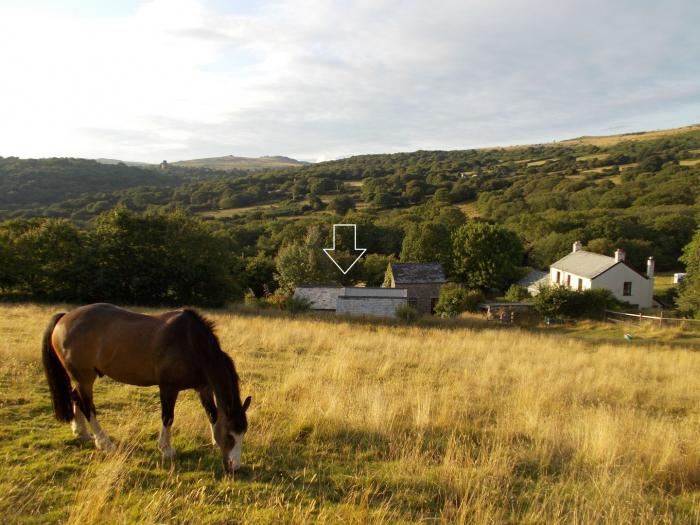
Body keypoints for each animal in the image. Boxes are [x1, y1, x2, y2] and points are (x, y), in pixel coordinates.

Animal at [39, 300, 250, 476]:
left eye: (243, 434)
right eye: (230, 435)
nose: (234, 468)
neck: (190, 343)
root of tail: (65, 317)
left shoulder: (203, 388)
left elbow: (212, 413)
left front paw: (213, 440)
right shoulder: (168, 388)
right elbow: (168, 417)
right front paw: (166, 449)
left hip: (79, 378)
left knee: (76, 397)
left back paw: (81, 431)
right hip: (84, 378)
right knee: (87, 406)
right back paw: (104, 443)